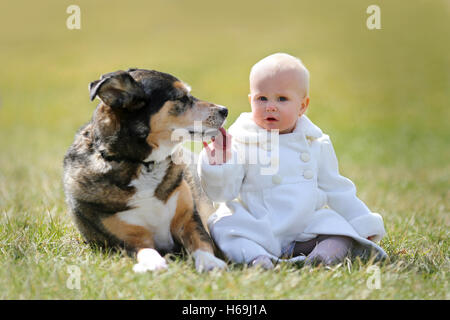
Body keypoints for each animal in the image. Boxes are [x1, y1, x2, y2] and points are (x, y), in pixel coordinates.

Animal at [62, 69, 229, 272]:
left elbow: (201, 241)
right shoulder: (131, 240)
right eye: (181, 98)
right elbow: (147, 251)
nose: (224, 110)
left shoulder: (188, 220)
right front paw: (155, 264)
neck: (144, 163)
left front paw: (209, 261)